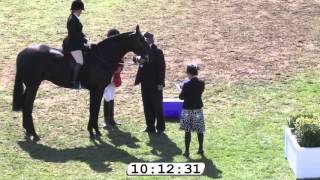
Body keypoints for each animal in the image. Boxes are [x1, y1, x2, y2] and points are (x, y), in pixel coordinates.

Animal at [11, 25, 149, 141]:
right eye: (141, 40)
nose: (146, 57)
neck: (101, 56)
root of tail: (22, 53)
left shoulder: (96, 90)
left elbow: (94, 109)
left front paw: (93, 131)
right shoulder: (97, 90)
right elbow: (94, 109)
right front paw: (94, 132)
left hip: (30, 86)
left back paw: (28, 131)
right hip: (33, 86)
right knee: (28, 106)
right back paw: (34, 134)